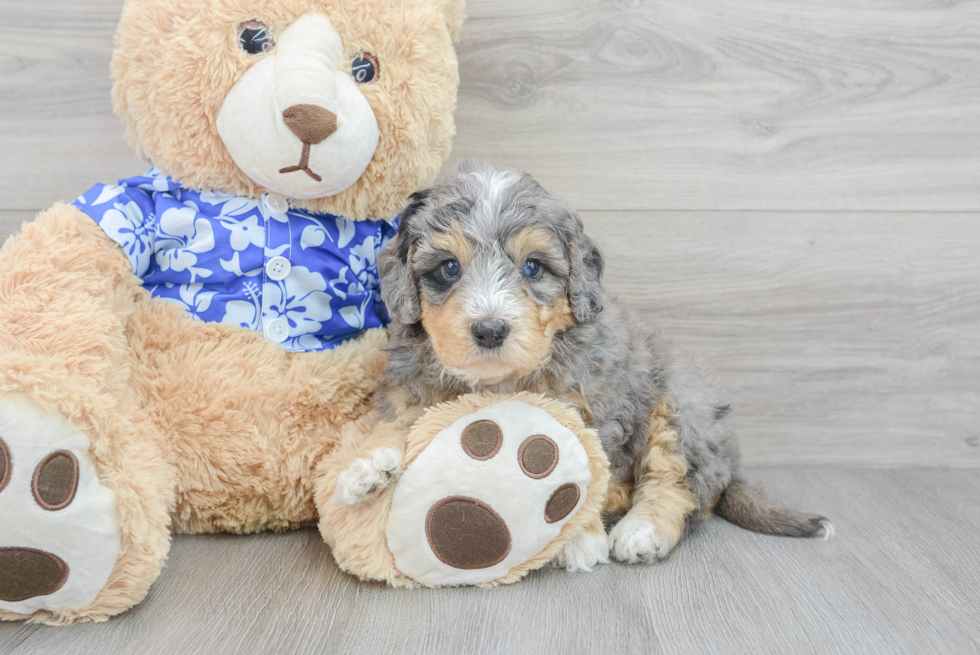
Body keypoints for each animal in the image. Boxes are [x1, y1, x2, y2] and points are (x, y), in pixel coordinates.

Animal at [334, 160, 828, 576]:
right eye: (449, 268)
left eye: (533, 267)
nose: (490, 330)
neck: (499, 381)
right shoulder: (409, 382)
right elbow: (397, 419)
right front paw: (365, 466)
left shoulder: (591, 411)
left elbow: (586, 478)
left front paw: (575, 540)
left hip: (683, 407)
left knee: (680, 485)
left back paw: (643, 530)